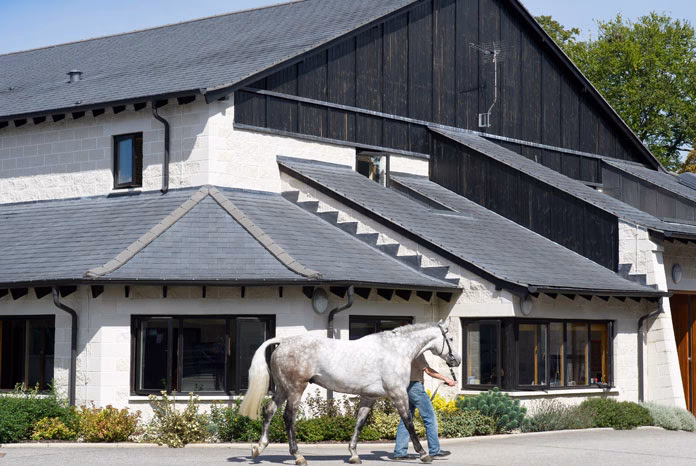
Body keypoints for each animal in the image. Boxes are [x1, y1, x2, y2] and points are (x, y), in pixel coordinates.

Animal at [239, 320, 462, 465]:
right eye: (450, 337)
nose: (457, 360)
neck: (395, 350)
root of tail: (283, 342)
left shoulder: (369, 397)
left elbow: (359, 424)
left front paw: (354, 454)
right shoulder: (398, 393)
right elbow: (408, 422)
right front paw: (424, 454)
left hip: (283, 389)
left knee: (269, 411)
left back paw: (258, 448)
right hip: (295, 389)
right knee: (288, 417)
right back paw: (298, 456)